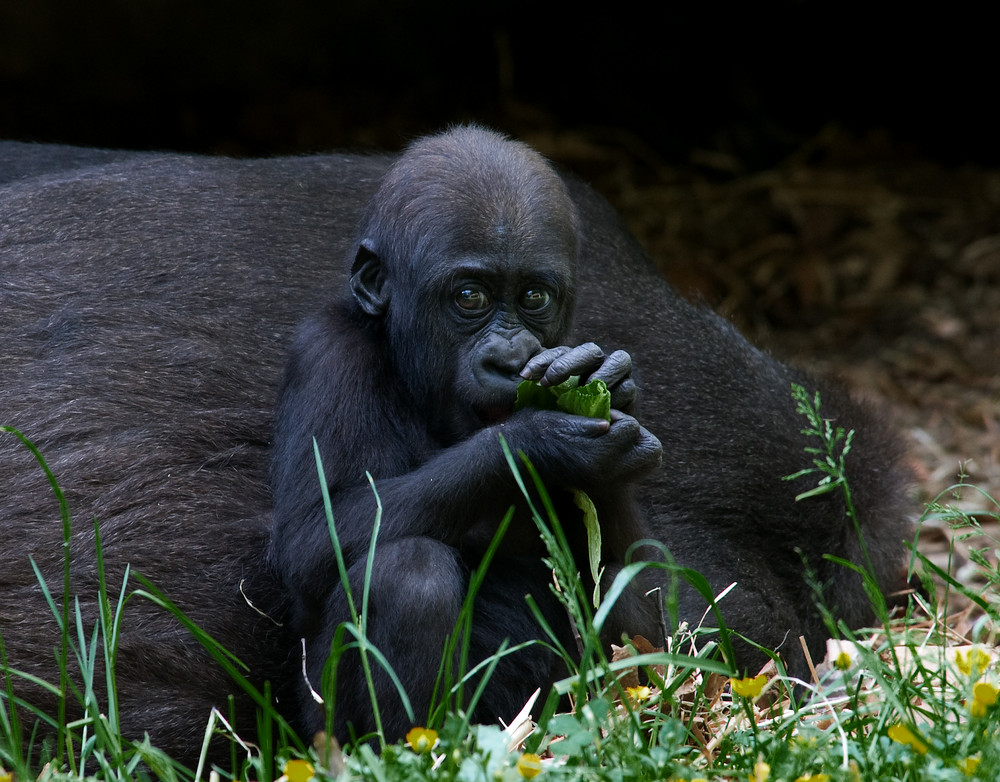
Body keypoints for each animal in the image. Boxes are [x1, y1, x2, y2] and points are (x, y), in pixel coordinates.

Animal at [0, 130, 908, 764]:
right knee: (405, 573)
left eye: (533, 297)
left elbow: (640, 591)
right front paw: (539, 440)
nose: (507, 351)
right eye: (467, 298)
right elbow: (319, 536)